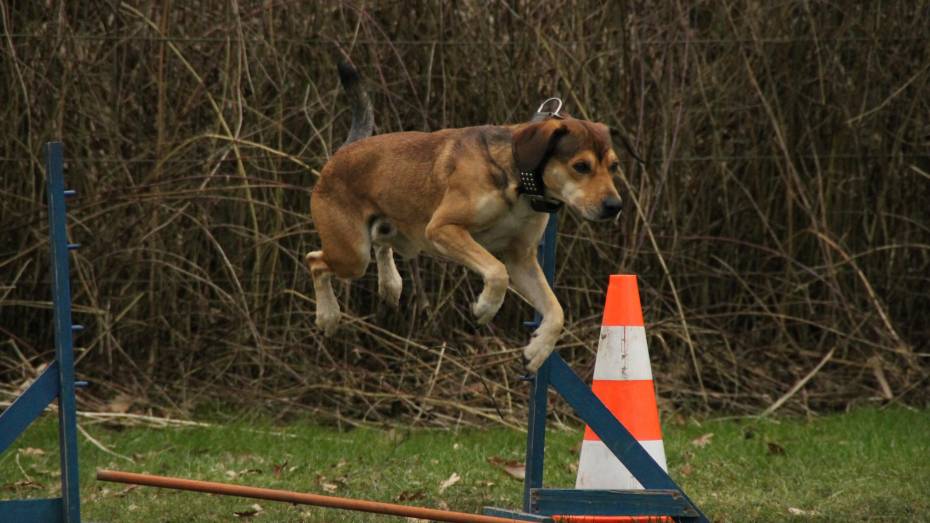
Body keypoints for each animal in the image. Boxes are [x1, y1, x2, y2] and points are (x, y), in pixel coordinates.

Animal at [308, 63, 620, 370]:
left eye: (614, 166)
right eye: (581, 166)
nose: (615, 206)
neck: (519, 180)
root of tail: (341, 153)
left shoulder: (521, 258)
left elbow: (556, 310)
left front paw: (538, 350)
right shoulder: (443, 228)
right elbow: (497, 271)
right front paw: (485, 307)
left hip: (386, 233)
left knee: (380, 242)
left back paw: (391, 285)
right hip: (352, 254)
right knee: (316, 261)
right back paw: (328, 316)